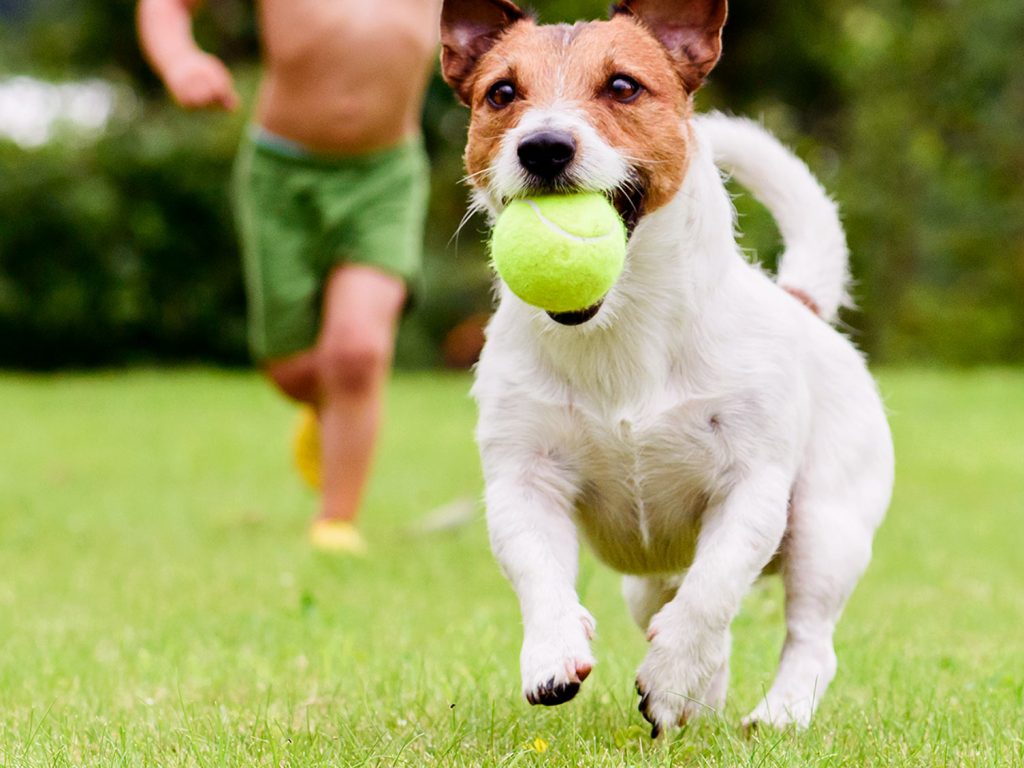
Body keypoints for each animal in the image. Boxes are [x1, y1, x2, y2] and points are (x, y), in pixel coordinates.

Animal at [440, 0, 897, 737]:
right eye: (501, 94)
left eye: (624, 86)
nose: (543, 147)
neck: (618, 330)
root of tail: (801, 303)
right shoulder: (523, 479)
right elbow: (538, 571)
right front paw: (553, 652)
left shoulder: (752, 488)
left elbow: (714, 590)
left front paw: (673, 671)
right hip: (647, 579)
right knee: (693, 617)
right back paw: (696, 704)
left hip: (827, 528)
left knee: (805, 637)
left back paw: (773, 713)